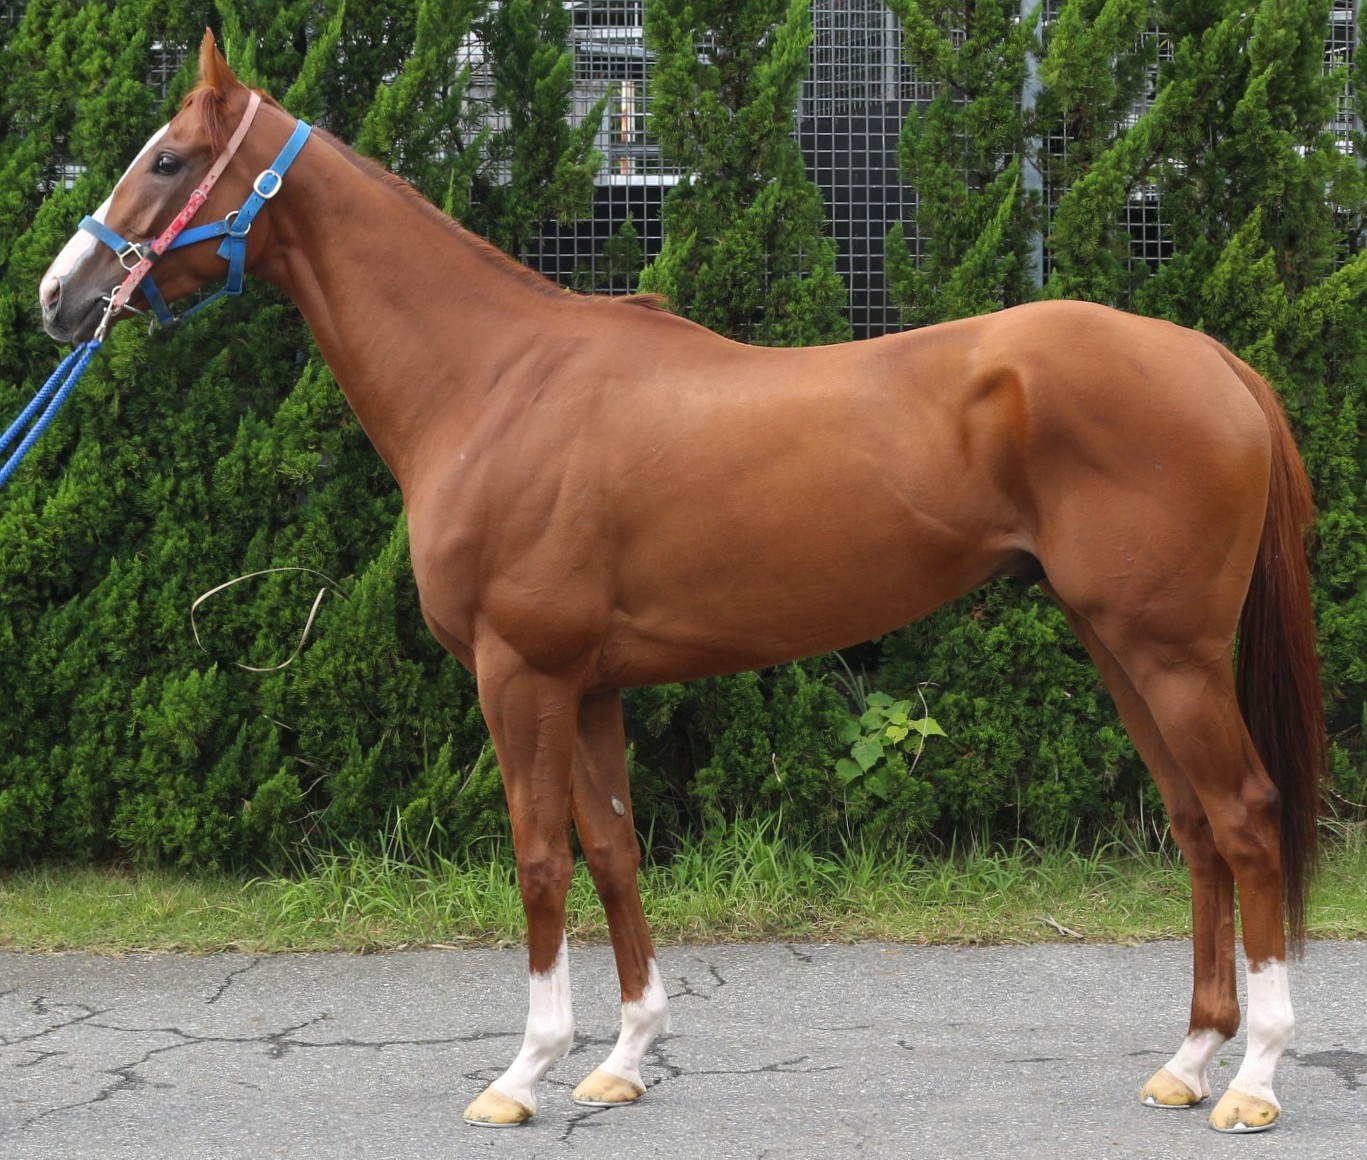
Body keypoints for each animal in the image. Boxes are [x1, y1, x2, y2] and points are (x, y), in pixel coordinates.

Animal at [38, 32, 1325, 1134]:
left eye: (168, 159)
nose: (58, 294)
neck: (492, 380)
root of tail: (1209, 358)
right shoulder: (590, 684)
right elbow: (611, 849)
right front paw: (620, 1059)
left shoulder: (521, 673)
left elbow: (538, 856)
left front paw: (521, 1071)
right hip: (1118, 644)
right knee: (1193, 825)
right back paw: (1186, 1059)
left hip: (1167, 651)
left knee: (1246, 815)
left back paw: (1253, 1077)